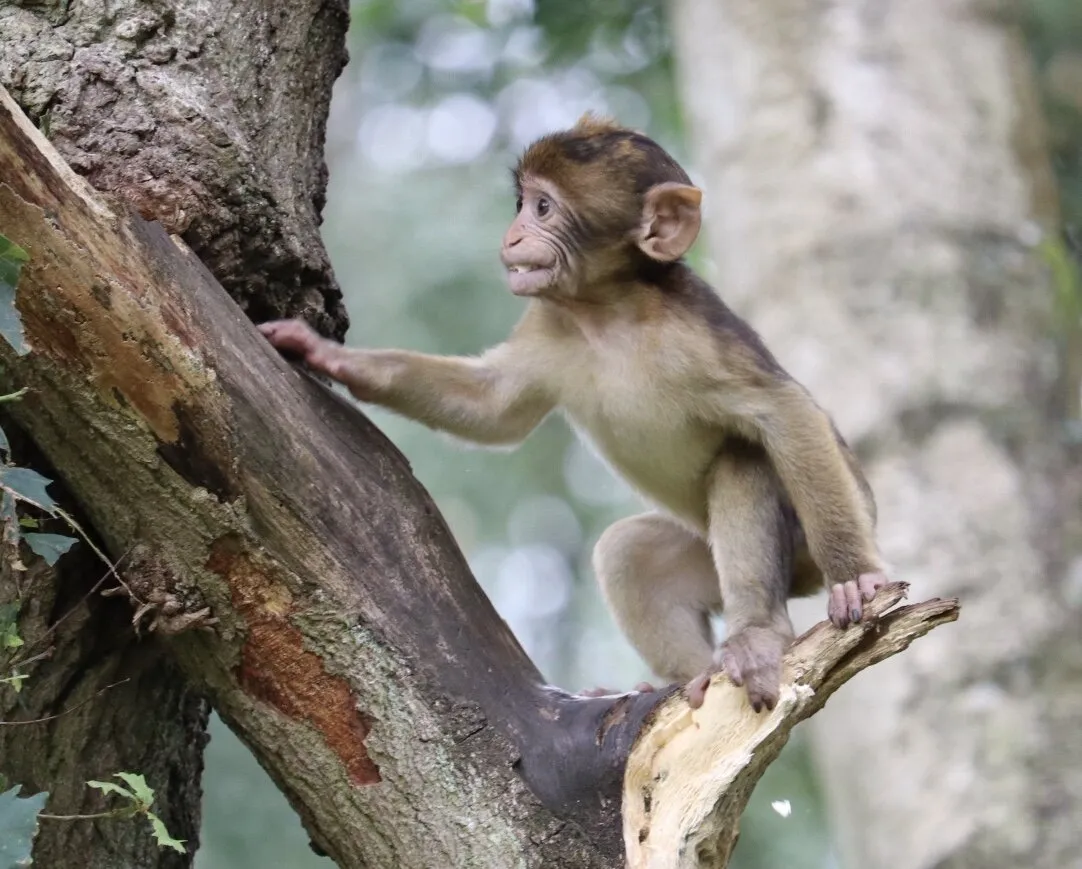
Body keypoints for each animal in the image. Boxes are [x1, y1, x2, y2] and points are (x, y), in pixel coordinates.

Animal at [258, 114, 888, 713]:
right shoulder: (547, 325)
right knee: (630, 555)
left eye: (543, 207)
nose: (512, 234)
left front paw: (855, 577)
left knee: (745, 454)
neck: (607, 314)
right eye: (521, 204)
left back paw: (760, 633)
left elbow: (785, 412)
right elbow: (493, 406)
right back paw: (682, 682)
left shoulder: (699, 339)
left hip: (799, 543)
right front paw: (325, 353)